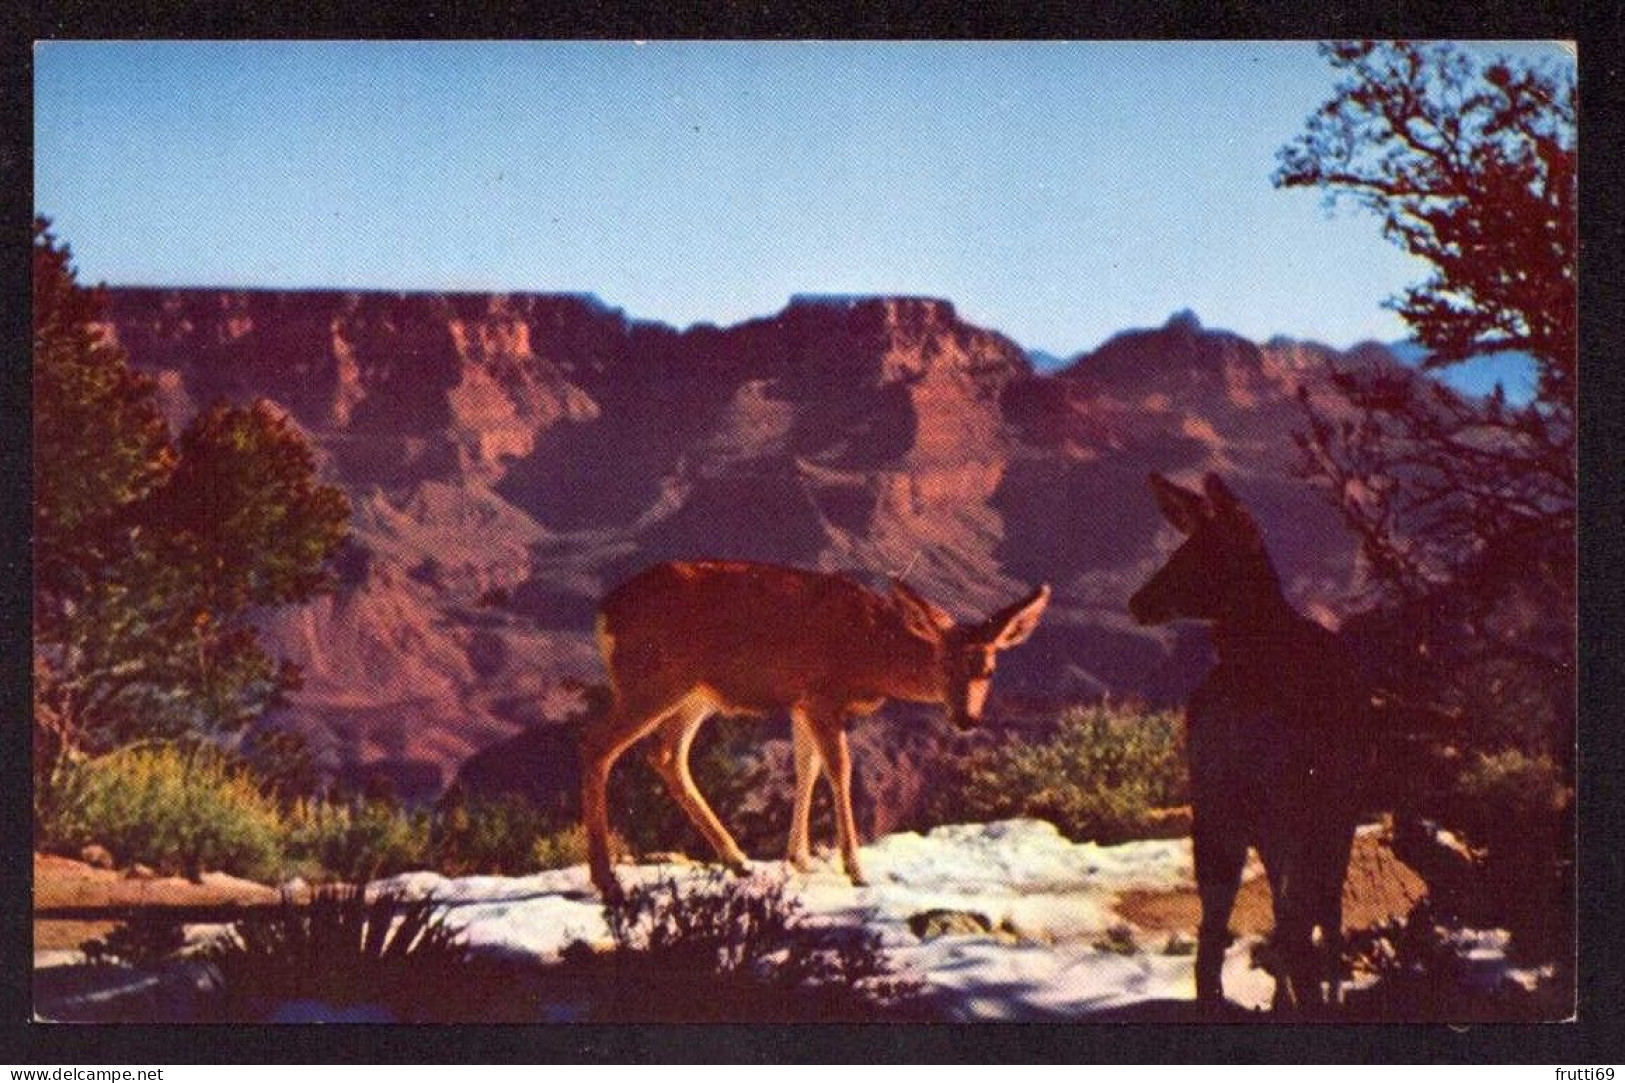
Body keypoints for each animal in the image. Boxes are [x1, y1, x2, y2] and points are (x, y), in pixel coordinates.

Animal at [578, 556, 1046, 891]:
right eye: (943, 664)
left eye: (988, 670)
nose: (967, 717)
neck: (869, 651)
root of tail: (604, 612)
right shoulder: (823, 696)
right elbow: (839, 770)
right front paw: (855, 869)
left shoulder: (801, 703)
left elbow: (807, 769)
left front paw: (799, 858)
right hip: (653, 679)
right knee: (598, 743)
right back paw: (607, 881)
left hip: (697, 694)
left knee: (667, 753)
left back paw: (737, 860)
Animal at [1131, 471, 1371, 1014]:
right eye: (1183, 549)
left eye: (1201, 555)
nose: (1139, 603)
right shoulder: (1286, 807)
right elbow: (1295, 916)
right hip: (1281, 811)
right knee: (1295, 916)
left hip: (1273, 810)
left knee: (1283, 915)